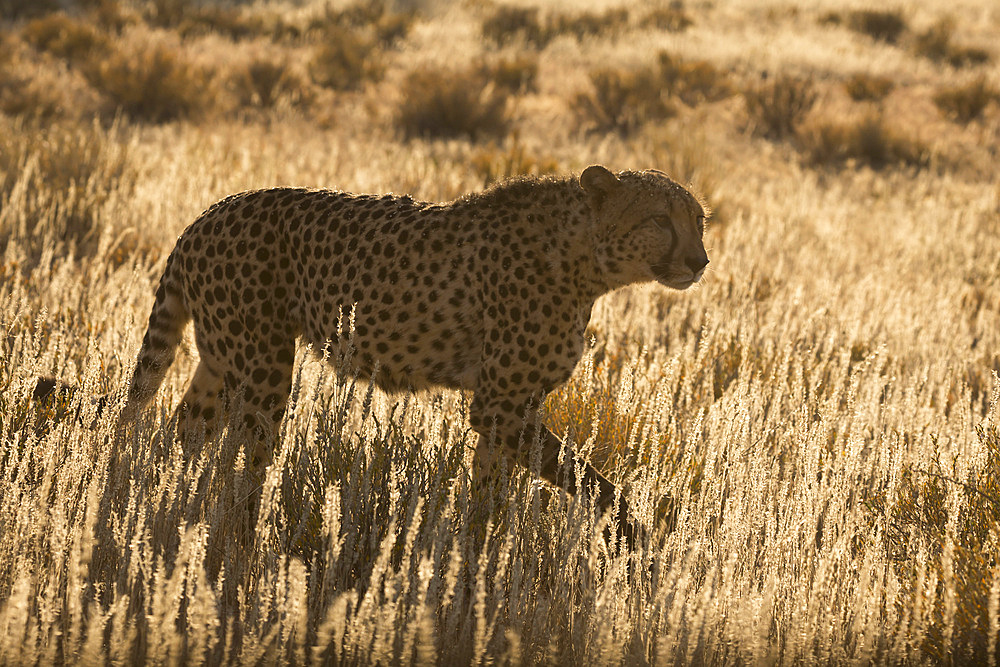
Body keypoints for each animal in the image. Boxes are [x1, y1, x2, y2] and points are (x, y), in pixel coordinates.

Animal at [41, 166, 712, 548]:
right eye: (660, 218)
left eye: (699, 220)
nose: (700, 261)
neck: (586, 259)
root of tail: (205, 215)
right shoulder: (501, 407)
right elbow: (588, 479)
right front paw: (640, 541)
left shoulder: (509, 411)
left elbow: (492, 491)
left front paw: (476, 554)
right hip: (263, 369)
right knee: (243, 459)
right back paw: (241, 538)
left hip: (220, 360)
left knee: (181, 432)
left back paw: (166, 505)